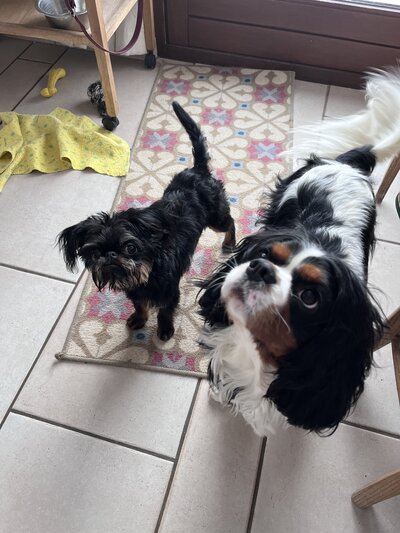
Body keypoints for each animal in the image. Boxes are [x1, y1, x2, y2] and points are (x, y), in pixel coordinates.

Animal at [58, 101, 235, 341]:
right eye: (94, 252)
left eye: (131, 247)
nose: (110, 255)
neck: (147, 273)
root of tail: (198, 170)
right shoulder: (134, 291)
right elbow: (140, 305)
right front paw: (139, 319)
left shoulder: (170, 292)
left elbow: (164, 310)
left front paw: (165, 329)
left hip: (216, 218)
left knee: (230, 222)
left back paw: (229, 243)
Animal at [198, 68, 400, 436]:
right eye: (265, 254)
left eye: (309, 297)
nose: (259, 268)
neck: (255, 357)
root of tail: (348, 165)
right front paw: (218, 395)